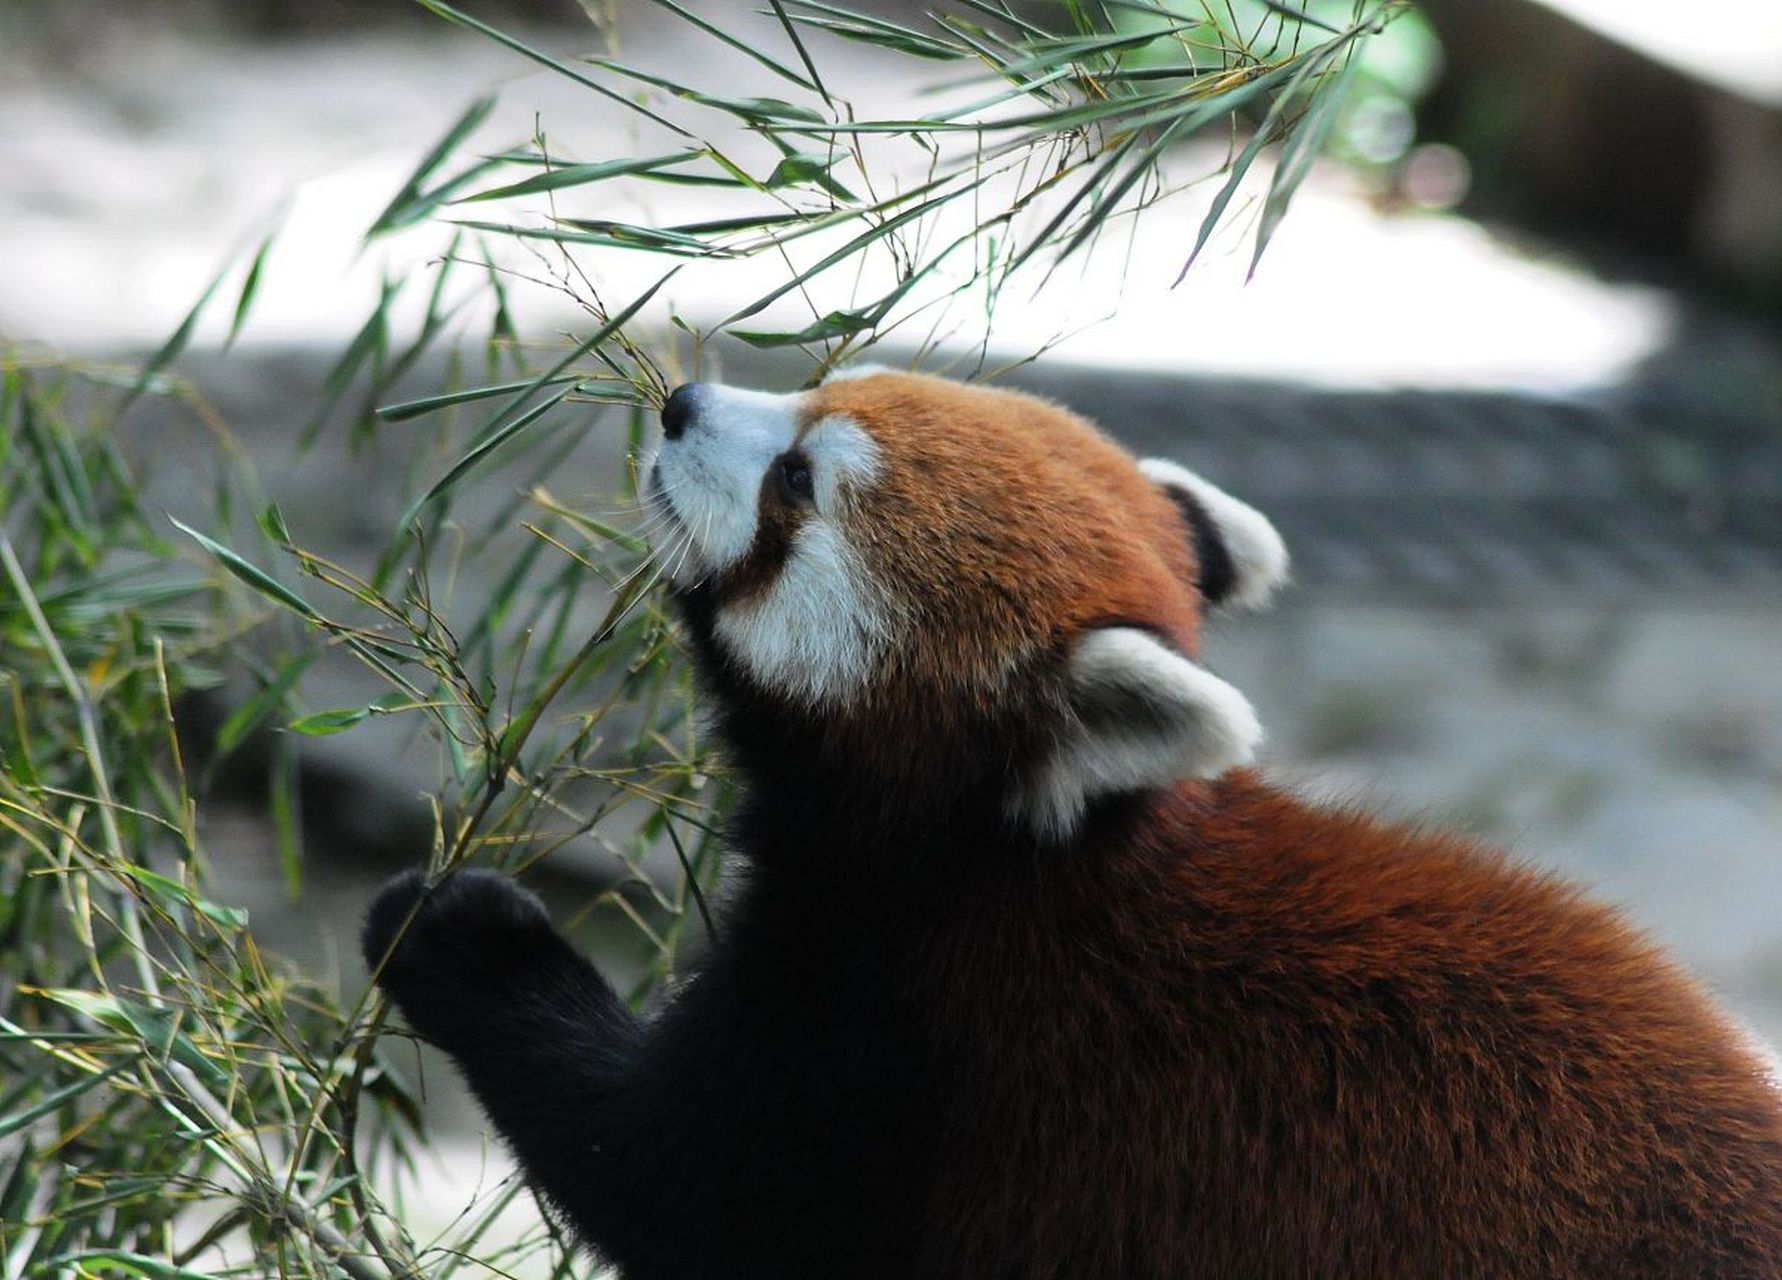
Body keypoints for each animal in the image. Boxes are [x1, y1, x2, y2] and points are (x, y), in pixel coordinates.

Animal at [365, 365, 1782, 1276]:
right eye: (813, 386)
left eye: (796, 485)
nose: (679, 402)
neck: (1014, 850)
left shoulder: (918, 1038)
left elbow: (674, 1181)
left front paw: (453, 926)